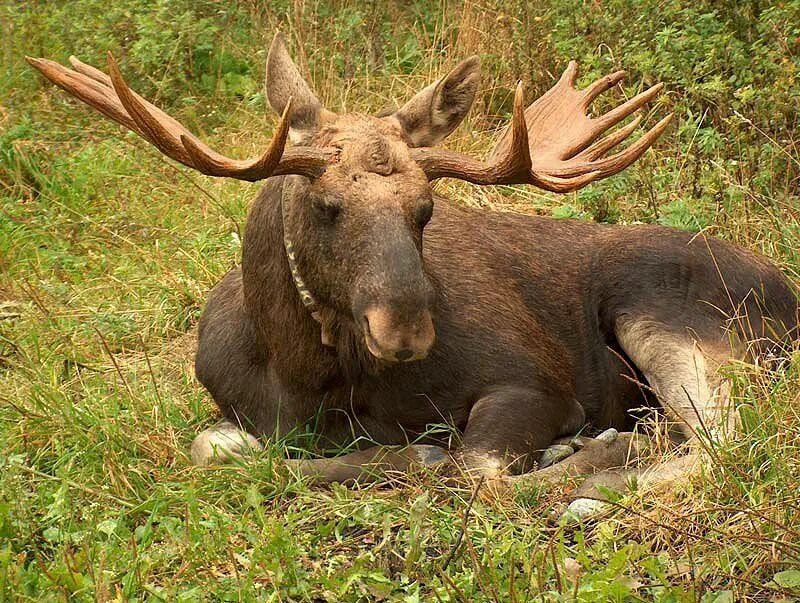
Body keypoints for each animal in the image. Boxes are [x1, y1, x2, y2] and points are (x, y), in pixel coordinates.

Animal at [28, 31, 796, 516]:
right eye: (325, 204)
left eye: (426, 208)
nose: (406, 328)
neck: (305, 381)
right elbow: (209, 448)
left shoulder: (537, 382)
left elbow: (470, 466)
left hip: (672, 316)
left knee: (726, 441)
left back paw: (601, 468)